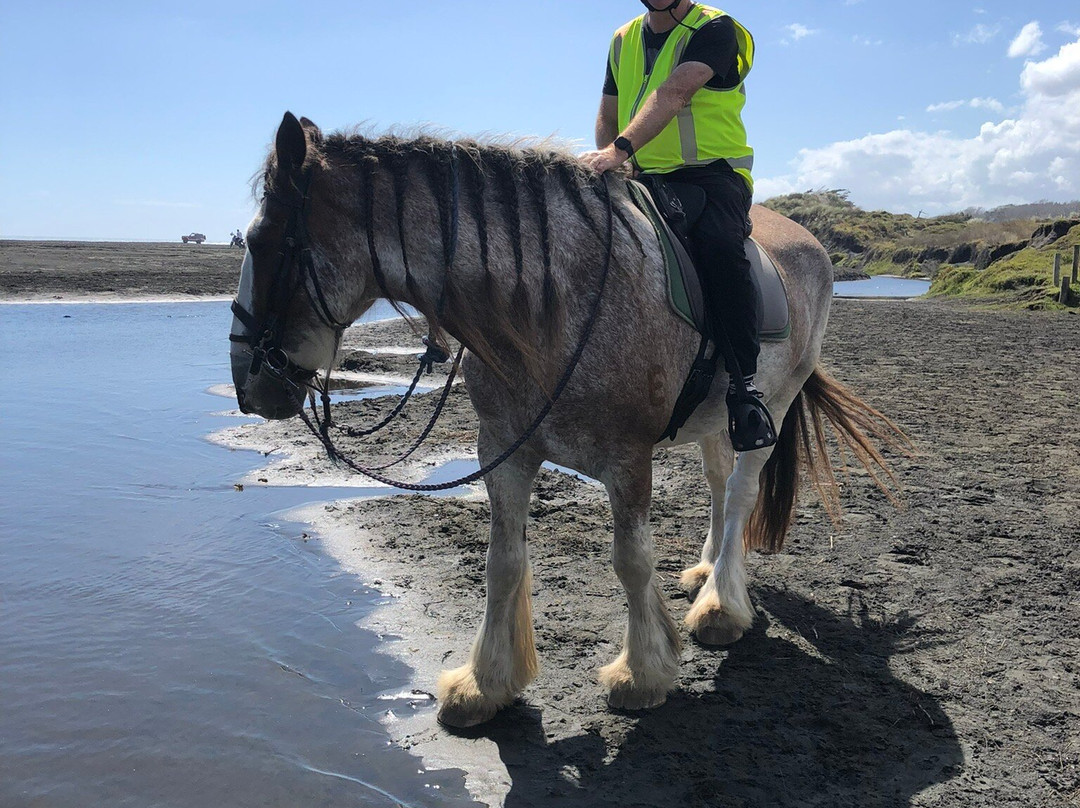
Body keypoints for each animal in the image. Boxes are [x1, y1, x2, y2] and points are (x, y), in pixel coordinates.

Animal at [230, 112, 905, 728]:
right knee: (718, 484)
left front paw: (642, 673)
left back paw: (720, 608)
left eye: (262, 242)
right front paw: (485, 684)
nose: (246, 382)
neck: (548, 305)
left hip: (775, 403)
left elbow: (631, 561)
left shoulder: (628, 460)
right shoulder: (504, 452)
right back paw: (708, 571)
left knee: (740, 492)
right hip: (714, 418)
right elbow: (502, 563)